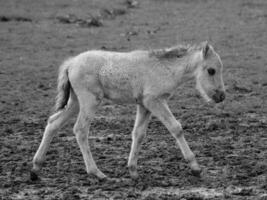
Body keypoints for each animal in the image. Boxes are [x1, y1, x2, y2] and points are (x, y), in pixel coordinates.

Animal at [30, 41, 226, 180]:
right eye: (211, 70)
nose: (221, 96)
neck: (164, 68)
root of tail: (71, 63)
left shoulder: (144, 105)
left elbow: (138, 134)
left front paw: (133, 171)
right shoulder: (155, 101)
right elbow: (176, 128)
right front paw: (195, 168)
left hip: (76, 102)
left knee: (53, 123)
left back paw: (35, 168)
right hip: (89, 101)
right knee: (80, 130)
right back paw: (97, 173)